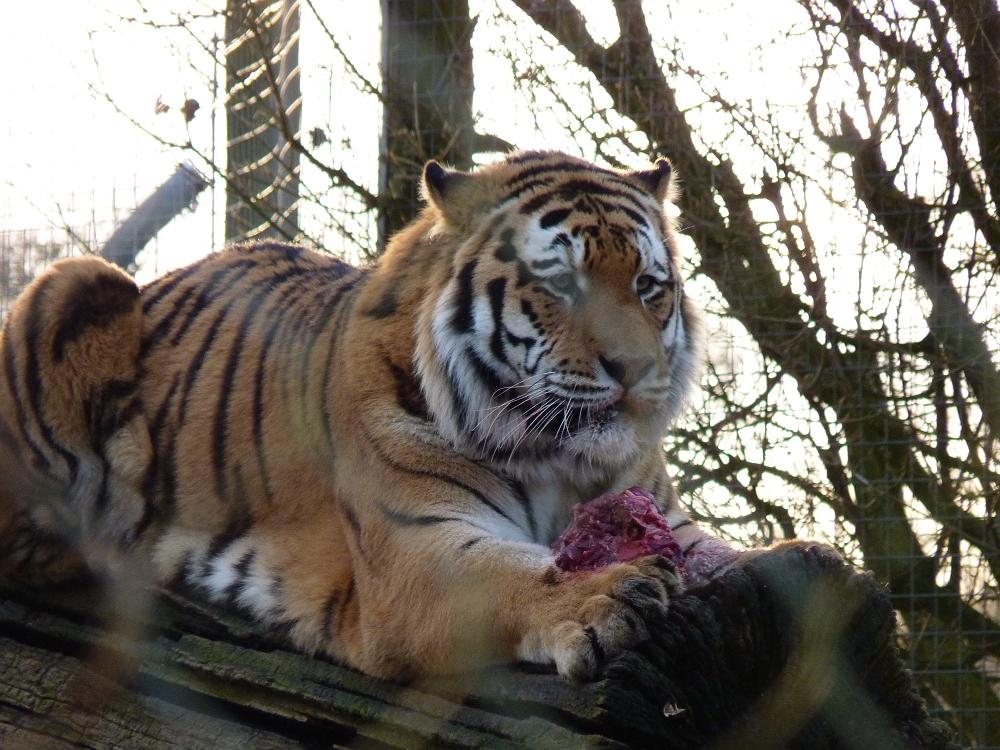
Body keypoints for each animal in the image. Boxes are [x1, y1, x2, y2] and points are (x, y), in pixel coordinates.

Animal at [0, 150, 738, 681]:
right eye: (561, 284)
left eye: (648, 286)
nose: (636, 369)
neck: (564, 462)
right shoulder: (415, 549)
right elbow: (513, 572)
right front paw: (609, 596)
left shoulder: (671, 519)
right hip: (75, 283)